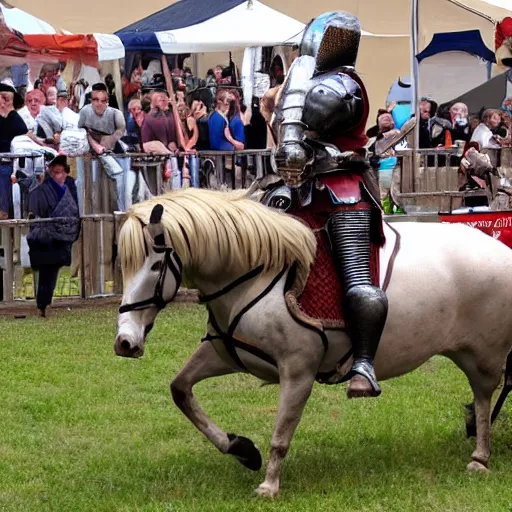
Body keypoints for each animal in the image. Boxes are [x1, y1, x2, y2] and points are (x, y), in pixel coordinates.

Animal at [114, 187, 512, 496]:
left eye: (154, 266)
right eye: (124, 265)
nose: (125, 342)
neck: (256, 275)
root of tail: (501, 251)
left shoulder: (298, 372)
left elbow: (281, 433)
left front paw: (269, 485)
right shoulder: (223, 353)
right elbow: (180, 390)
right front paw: (241, 448)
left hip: (485, 356)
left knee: (483, 397)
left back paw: (480, 457)